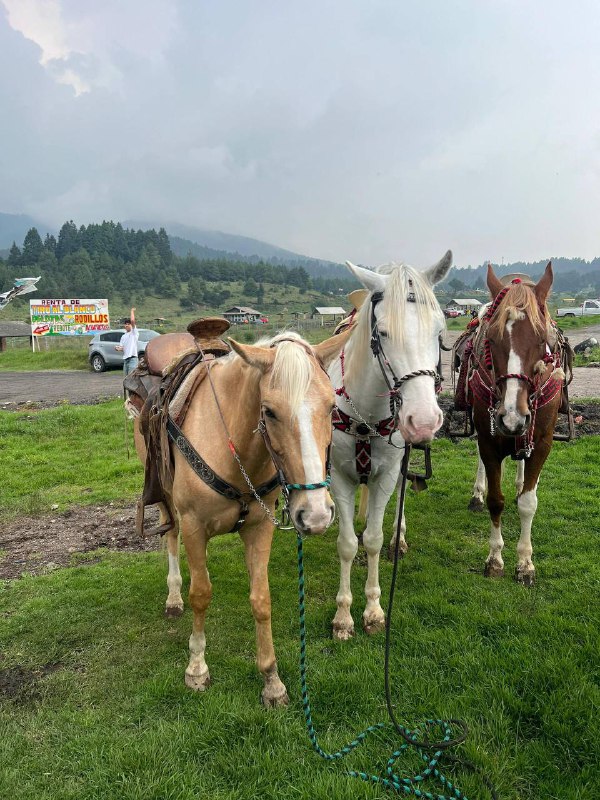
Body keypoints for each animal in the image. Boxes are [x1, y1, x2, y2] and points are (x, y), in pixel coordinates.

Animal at [134, 332, 350, 708]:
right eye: (269, 411)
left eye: (331, 408)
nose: (316, 515)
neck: (232, 444)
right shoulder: (194, 526)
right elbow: (201, 594)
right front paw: (197, 668)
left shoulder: (259, 528)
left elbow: (261, 600)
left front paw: (272, 681)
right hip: (164, 493)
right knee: (170, 536)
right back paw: (174, 597)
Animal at [328, 253, 450, 640]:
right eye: (382, 333)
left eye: (439, 332)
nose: (424, 421)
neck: (365, 415)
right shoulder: (339, 479)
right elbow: (348, 544)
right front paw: (343, 616)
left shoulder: (384, 476)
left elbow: (374, 540)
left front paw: (373, 610)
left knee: (400, 495)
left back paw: (400, 536)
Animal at [466, 266, 564, 584]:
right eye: (492, 339)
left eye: (540, 338)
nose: (511, 417)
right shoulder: (488, 441)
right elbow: (496, 500)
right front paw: (495, 559)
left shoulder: (542, 443)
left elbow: (527, 504)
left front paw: (525, 563)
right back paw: (477, 495)